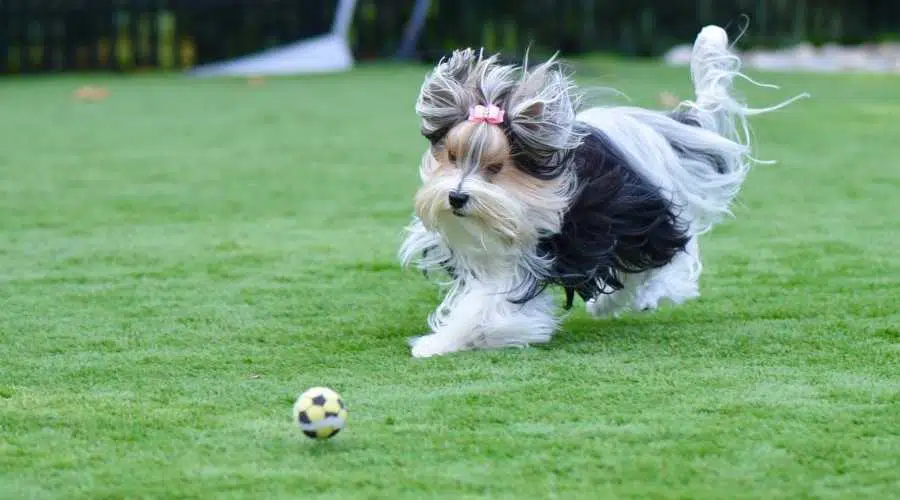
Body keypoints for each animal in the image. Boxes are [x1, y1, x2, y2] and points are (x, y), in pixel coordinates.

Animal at [398, 25, 804, 358]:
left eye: (495, 169)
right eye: (452, 156)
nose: (457, 197)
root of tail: (659, 129)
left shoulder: (538, 251)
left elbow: (486, 304)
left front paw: (440, 342)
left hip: (640, 220)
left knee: (666, 258)